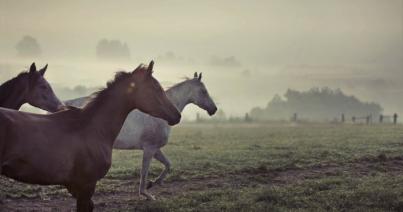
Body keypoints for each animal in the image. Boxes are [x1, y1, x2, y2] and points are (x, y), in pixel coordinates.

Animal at [65, 72, 218, 200]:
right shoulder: (149, 149)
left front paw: (154, 183)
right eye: (204, 91)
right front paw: (146, 194)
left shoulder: (155, 149)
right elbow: (144, 172)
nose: (214, 109)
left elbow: (168, 164)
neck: (160, 114)